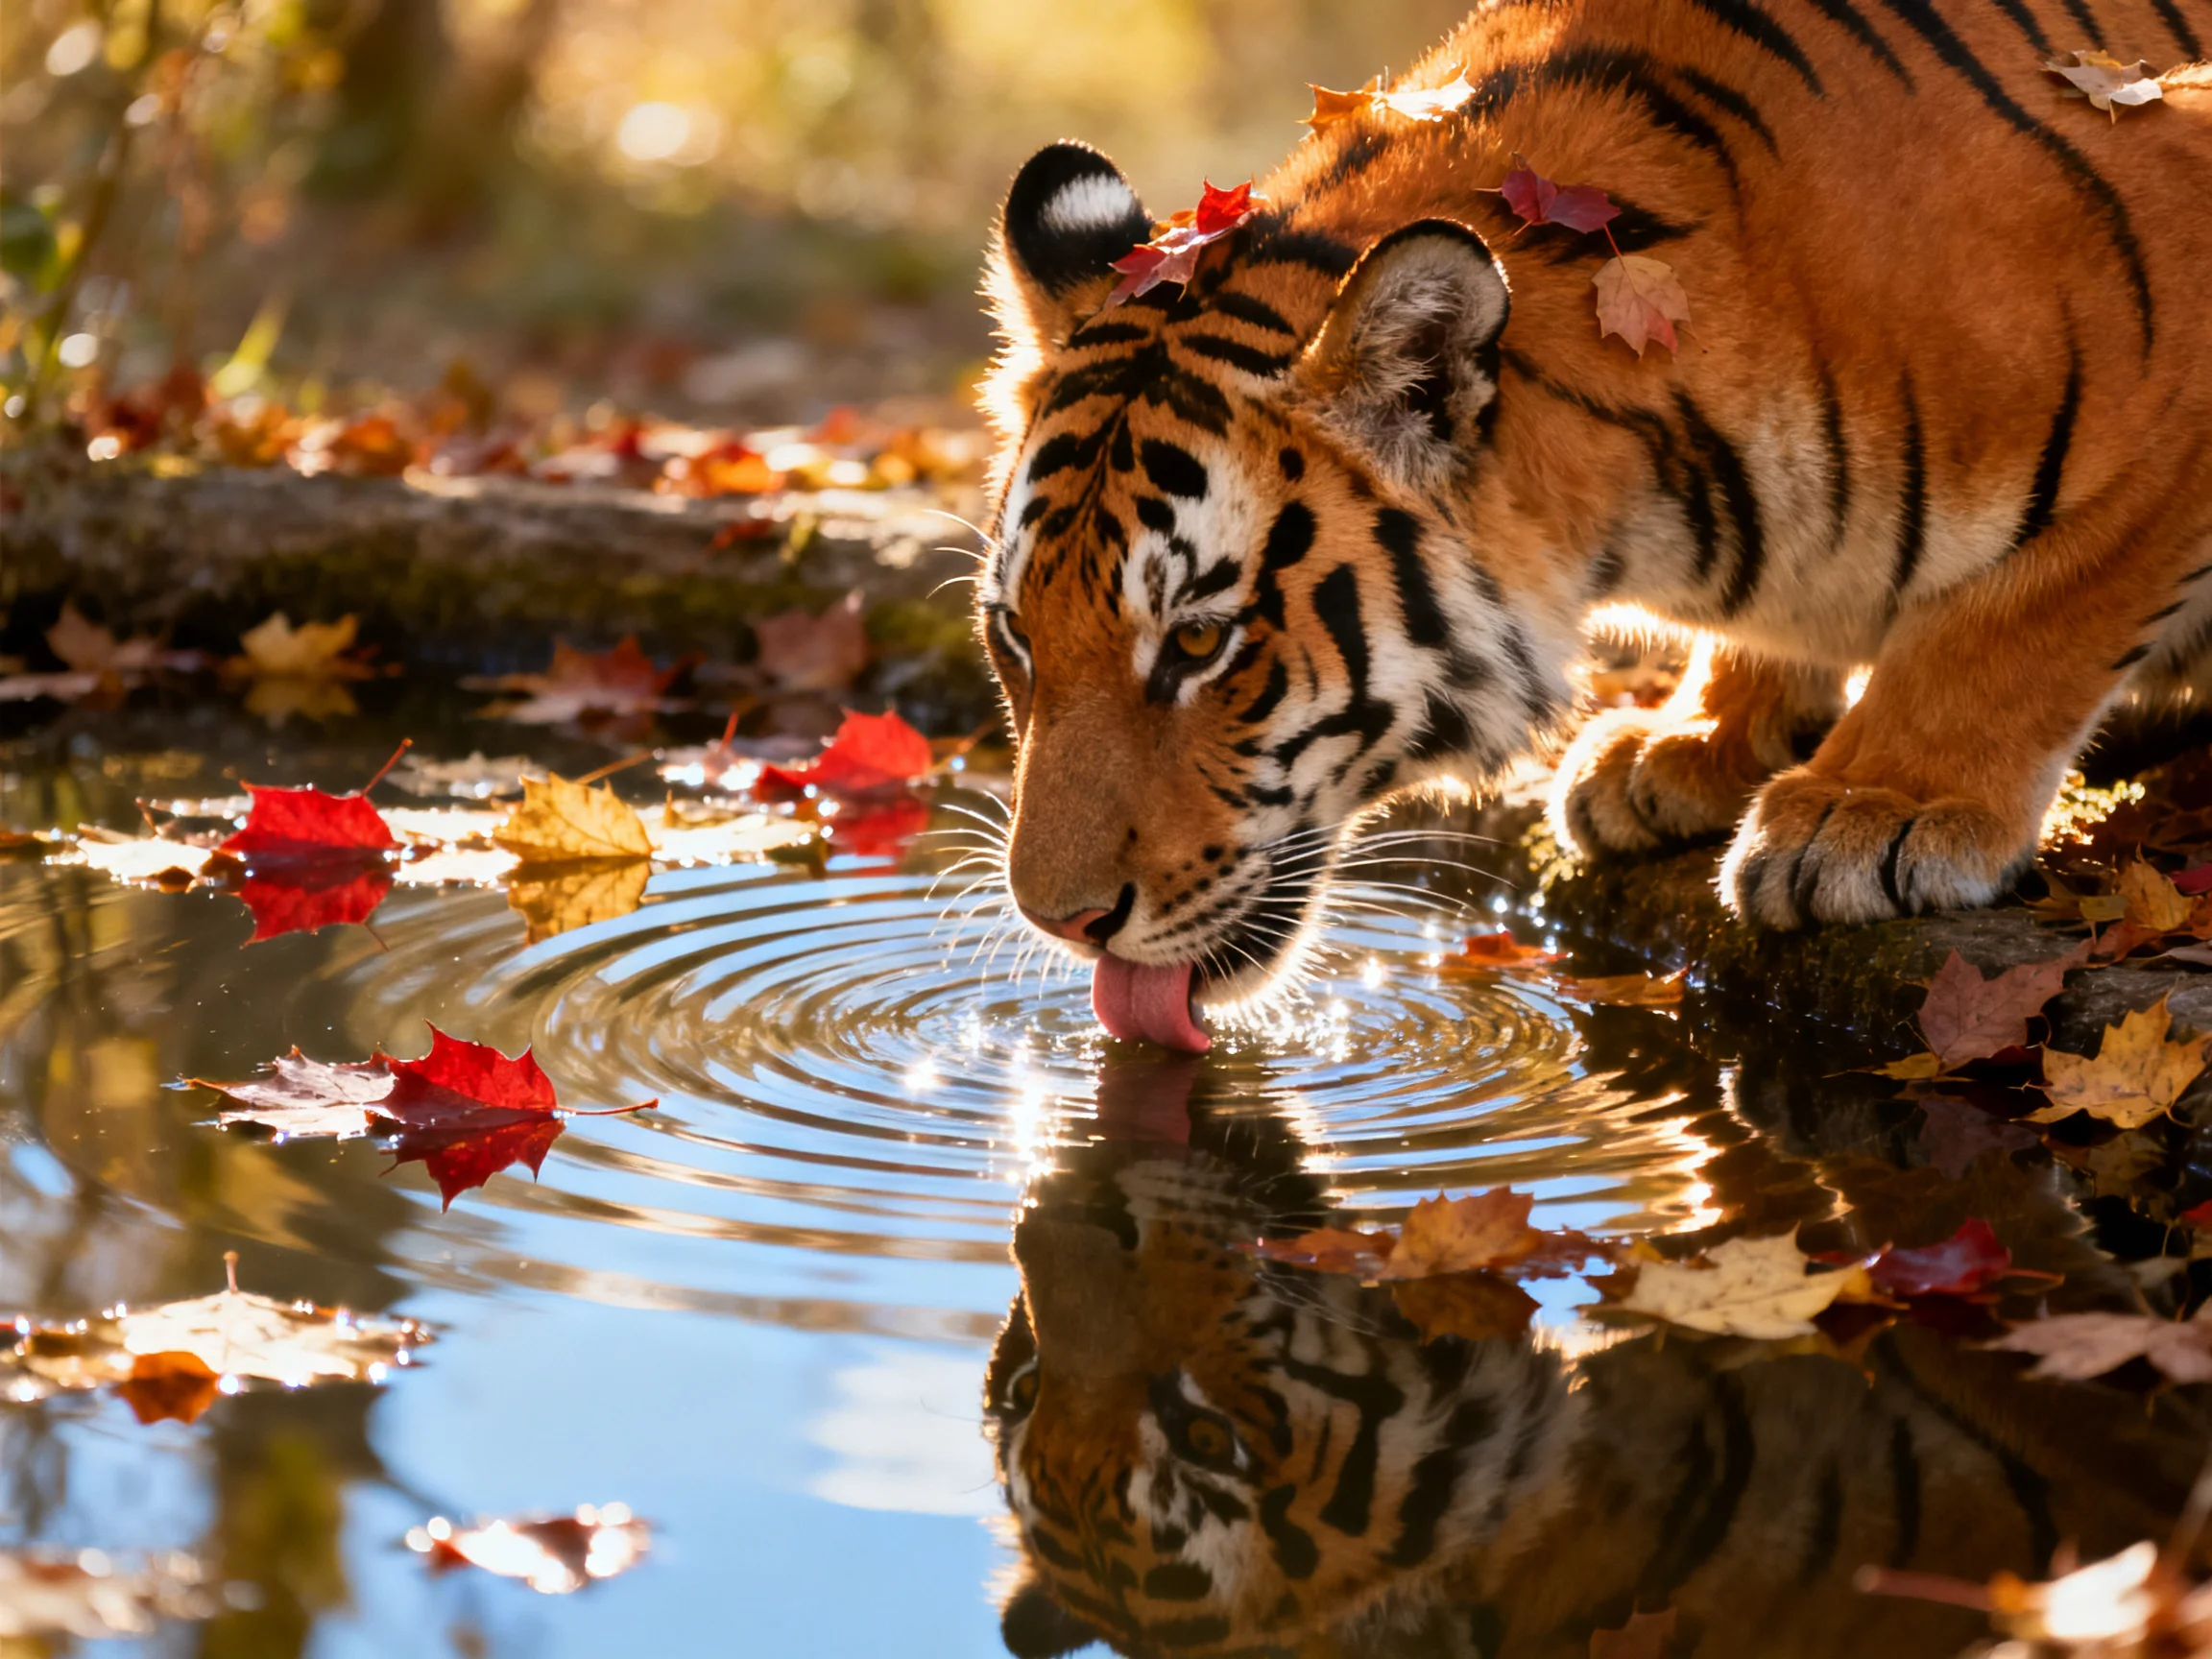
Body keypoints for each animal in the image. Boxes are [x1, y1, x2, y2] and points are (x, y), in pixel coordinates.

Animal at [975, 0, 2212, 1050]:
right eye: (1017, 639)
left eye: (1197, 642)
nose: (1058, 918)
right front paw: (1695, 740)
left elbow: (2016, 622)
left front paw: (1872, 808)